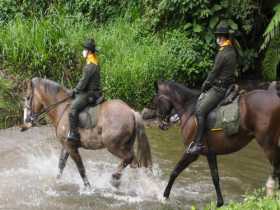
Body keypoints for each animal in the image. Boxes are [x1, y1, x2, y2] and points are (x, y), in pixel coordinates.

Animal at [21, 78, 153, 188]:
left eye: (28, 97)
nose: (26, 122)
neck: (61, 108)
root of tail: (131, 112)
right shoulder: (66, 146)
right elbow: (61, 165)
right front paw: (57, 181)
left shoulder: (71, 148)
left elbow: (81, 168)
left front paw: (88, 187)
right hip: (126, 145)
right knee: (133, 162)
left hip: (114, 146)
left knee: (129, 158)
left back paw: (114, 178)